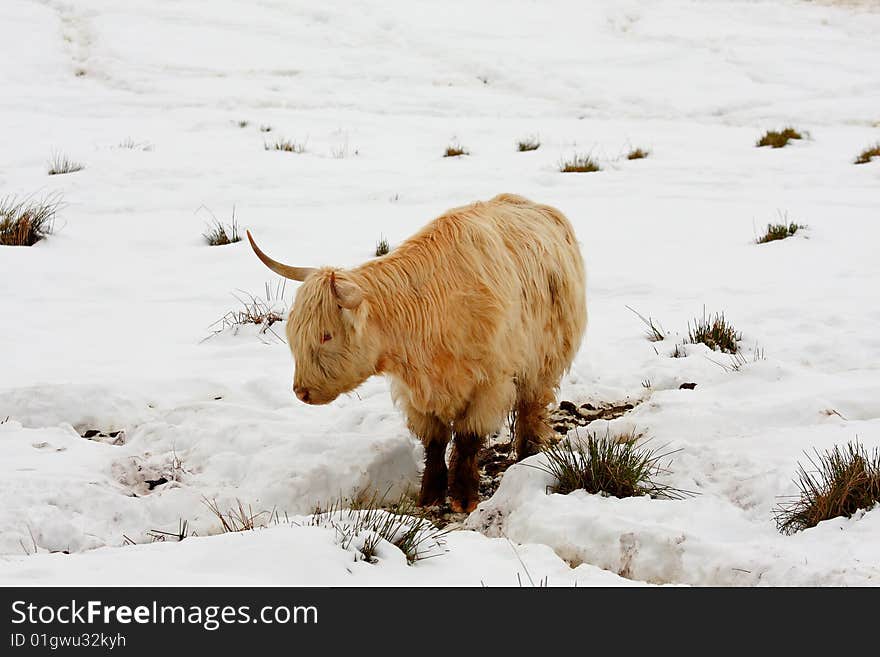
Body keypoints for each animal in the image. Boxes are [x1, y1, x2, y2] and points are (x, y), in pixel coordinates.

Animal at [248, 192, 588, 510]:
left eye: (326, 335)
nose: (301, 391)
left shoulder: (489, 385)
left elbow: (467, 440)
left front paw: (463, 496)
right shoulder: (417, 394)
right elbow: (435, 442)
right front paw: (430, 495)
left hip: (544, 360)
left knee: (531, 406)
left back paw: (527, 452)